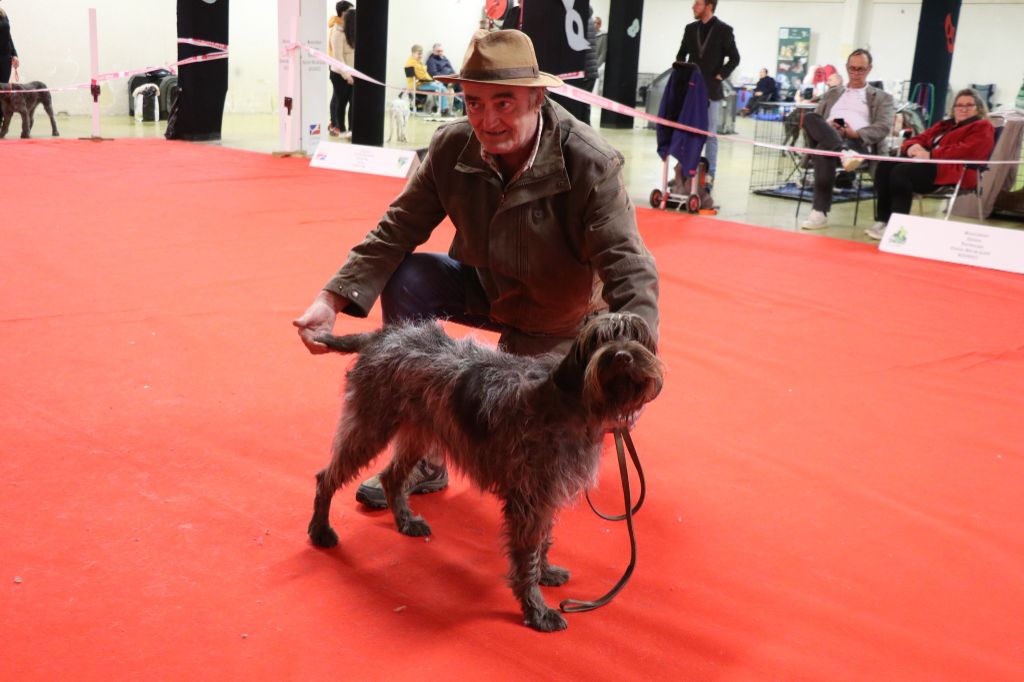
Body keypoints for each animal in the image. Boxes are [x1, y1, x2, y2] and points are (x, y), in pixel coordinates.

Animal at [305, 311, 663, 630]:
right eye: (599, 339)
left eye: (636, 336)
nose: (622, 356)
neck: (572, 400)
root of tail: (382, 336)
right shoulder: (530, 500)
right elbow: (527, 557)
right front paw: (536, 610)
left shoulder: (546, 494)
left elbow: (543, 542)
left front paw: (545, 572)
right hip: (370, 428)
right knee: (326, 478)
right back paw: (321, 531)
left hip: (418, 434)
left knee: (392, 477)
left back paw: (406, 522)